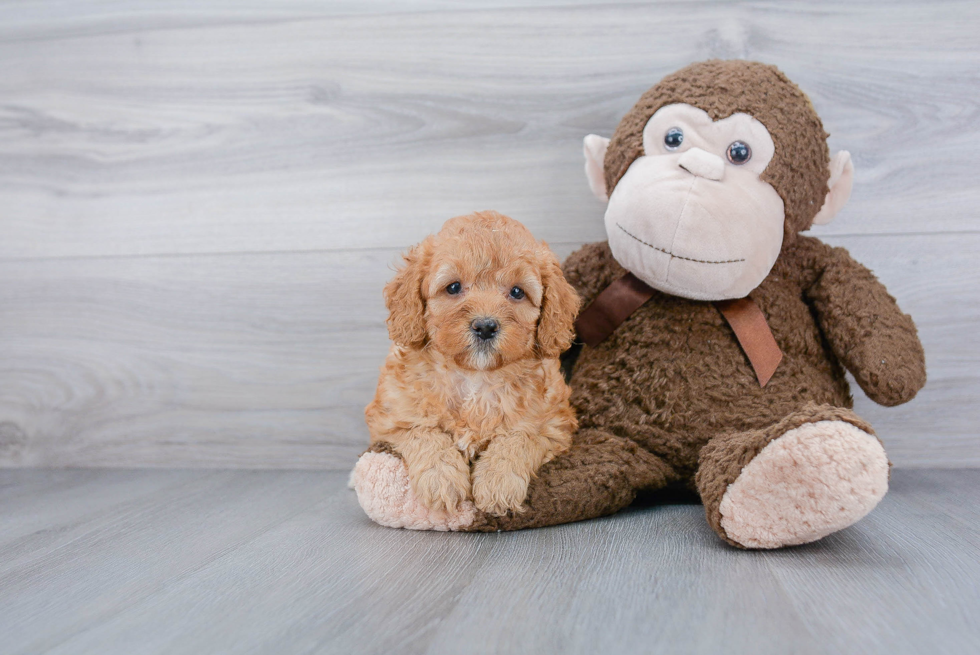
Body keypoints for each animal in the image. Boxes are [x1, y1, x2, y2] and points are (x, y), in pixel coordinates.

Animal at [368, 211, 580, 516]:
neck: (475, 377)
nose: (485, 326)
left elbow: (520, 438)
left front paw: (498, 482)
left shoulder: (554, 425)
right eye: (454, 287)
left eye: (517, 292)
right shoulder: (390, 419)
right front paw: (442, 479)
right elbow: (424, 432)